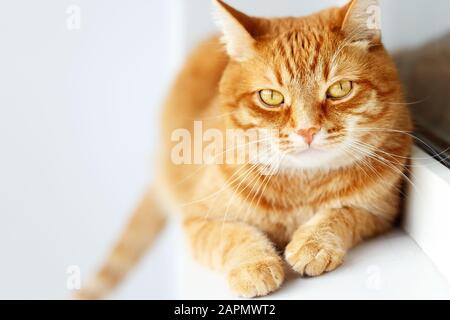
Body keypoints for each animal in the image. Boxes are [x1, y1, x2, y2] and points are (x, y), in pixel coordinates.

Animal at [78, 0, 412, 298]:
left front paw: (313, 243)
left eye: (340, 89)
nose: (307, 131)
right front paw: (255, 266)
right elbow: (235, 235)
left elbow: (340, 214)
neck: (301, 187)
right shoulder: (198, 221)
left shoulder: (379, 212)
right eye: (271, 97)